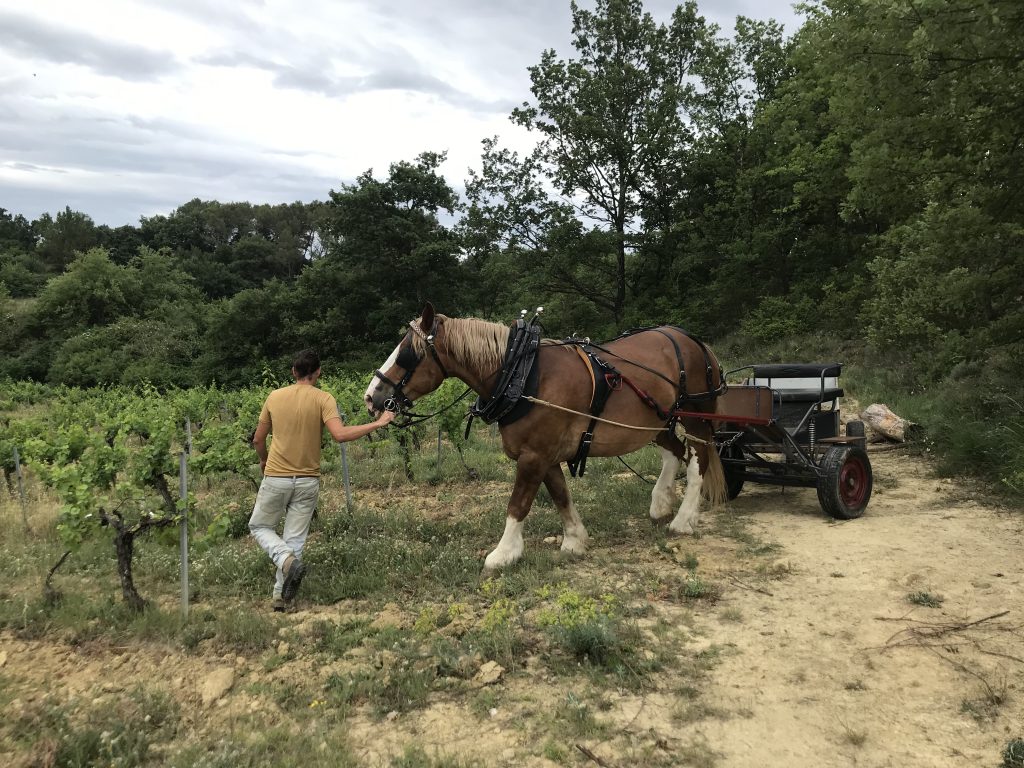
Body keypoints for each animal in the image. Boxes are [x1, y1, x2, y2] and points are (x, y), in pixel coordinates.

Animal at [362, 303, 729, 573]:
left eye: (407, 355)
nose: (371, 397)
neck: (521, 376)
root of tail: (693, 341)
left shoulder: (534, 455)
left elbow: (518, 503)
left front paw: (504, 553)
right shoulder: (546, 456)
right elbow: (560, 496)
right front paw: (575, 540)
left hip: (695, 416)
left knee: (698, 461)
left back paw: (683, 520)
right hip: (657, 422)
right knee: (676, 452)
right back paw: (661, 502)